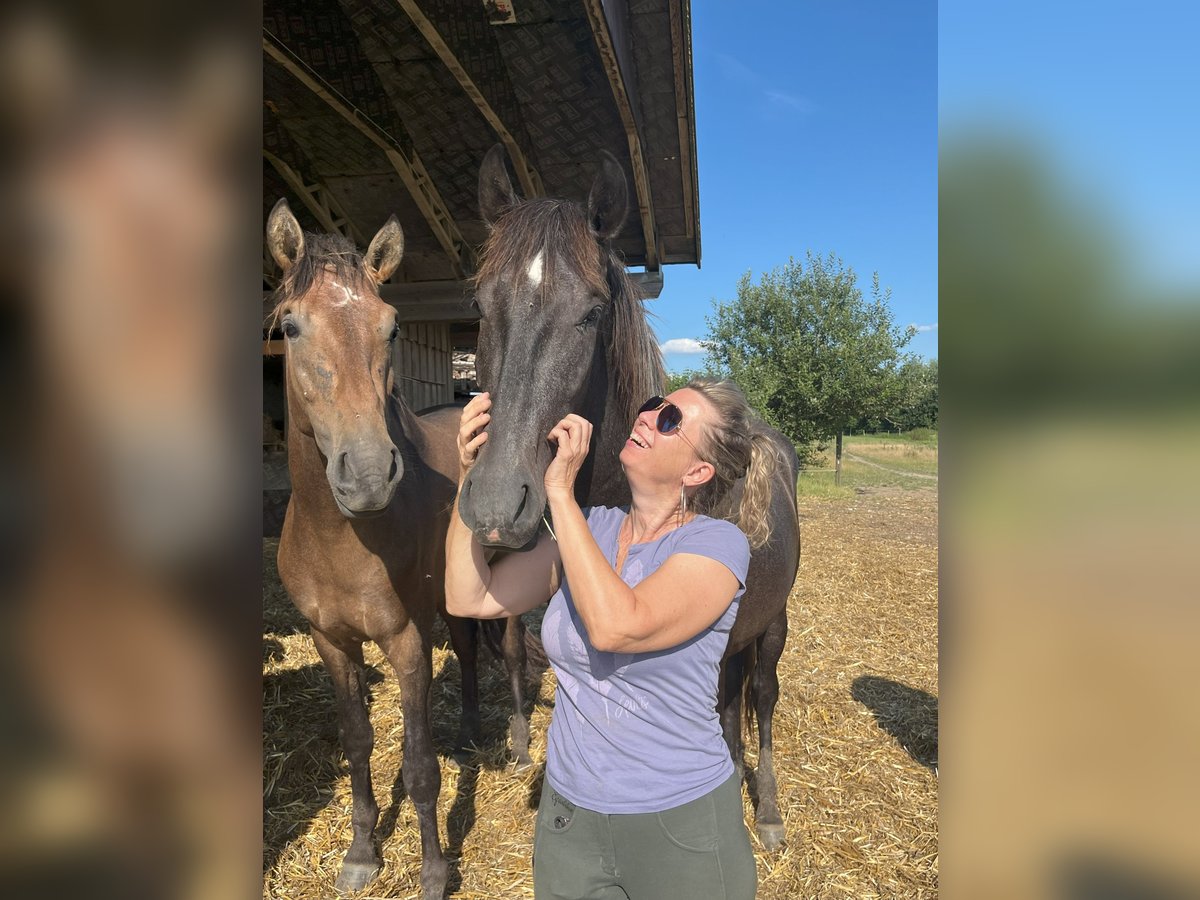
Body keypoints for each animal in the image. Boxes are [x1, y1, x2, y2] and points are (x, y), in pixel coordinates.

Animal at [267, 200, 511, 897]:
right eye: (290, 325)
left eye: (393, 326)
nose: (370, 475)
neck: (339, 540)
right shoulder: (332, 643)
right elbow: (357, 742)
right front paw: (361, 854)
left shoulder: (405, 641)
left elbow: (420, 763)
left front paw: (432, 872)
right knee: (469, 651)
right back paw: (471, 730)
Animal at [463, 144, 801, 849]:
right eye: (480, 305)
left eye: (592, 312)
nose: (497, 504)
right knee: (730, 699)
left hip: (774, 622)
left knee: (761, 696)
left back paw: (769, 811)